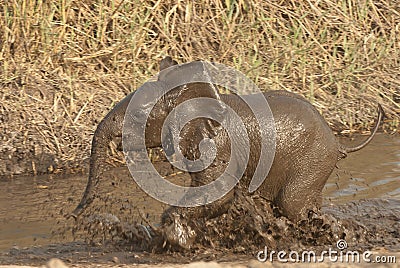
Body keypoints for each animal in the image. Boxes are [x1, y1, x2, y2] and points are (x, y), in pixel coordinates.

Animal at [72, 56, 384, 249]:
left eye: (137, 118)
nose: (76, 215)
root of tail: (338, 141)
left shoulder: (217, 149)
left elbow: (218, 198)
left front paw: (174, 238)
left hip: (313, 160)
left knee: (292, 205)